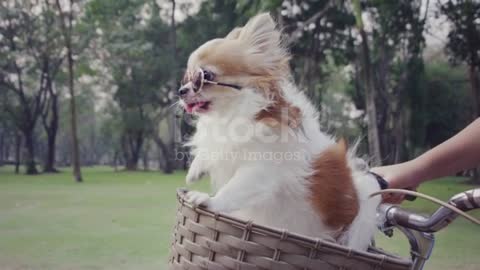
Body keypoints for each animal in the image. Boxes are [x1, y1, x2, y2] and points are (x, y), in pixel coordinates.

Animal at [177, 12, 382, 249]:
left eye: (205, 76)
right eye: (187, 78)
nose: (181, 90)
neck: (232, 114)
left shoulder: (261, 170)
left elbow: (232, 190)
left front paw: (209, 200)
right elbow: (210, 151)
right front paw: (194, 170)